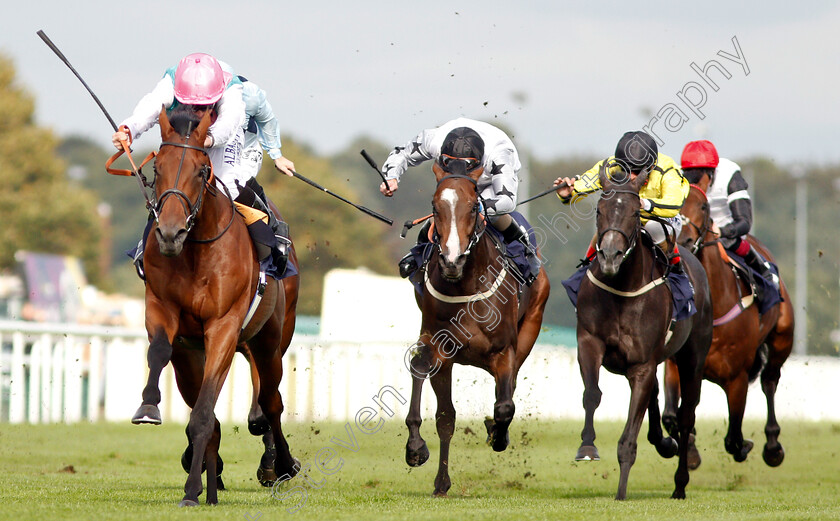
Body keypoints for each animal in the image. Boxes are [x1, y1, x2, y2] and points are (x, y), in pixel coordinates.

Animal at [143, 106, 300, 504]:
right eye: (157, 168)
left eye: (201, 169)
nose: (170, 233)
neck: (195, 252)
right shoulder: (172, 326)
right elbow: (162, 355)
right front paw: (148, 407)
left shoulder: (224, 327)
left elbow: (204, 415)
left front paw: (192, 489)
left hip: (270, 340)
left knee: (271, 403)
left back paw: (281, 464)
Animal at [406, 162, 552, 496]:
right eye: (435, 205)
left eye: (474, 206)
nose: (451, 260)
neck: (465, 284)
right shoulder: (441, 350)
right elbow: (445, 417)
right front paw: (433, 471)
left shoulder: (504, 351)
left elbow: (504, 406)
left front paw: (498, 434)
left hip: (531, 326)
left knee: (509, 390)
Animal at [576, 165, 712, 498]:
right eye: (599, 210)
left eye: (635, 211)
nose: (609, 256)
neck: (621, 288)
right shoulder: (589, 343)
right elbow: (592, 394)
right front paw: (587, 447)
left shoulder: (641, 365)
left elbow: (629, 436)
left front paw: (621, 491)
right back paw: (664, 444)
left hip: (693, 357)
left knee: (687, 415)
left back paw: (680, 484)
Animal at [668, 184, 796, 468]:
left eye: (703, 206)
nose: (683, 241)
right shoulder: (675, 365)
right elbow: (672, 417)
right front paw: (688, 449)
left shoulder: (737, 377)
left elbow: (733, 438)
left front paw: (744, 446)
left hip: (782, 338)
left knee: (770, 381)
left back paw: (773, 446)